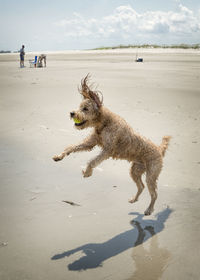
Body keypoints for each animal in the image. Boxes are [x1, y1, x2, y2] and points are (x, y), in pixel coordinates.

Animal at [52, 74, 170, 214]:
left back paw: (149, 209)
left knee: (154, 193)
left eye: (85, 109)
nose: (72, 113)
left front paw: (87, 172)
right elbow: (72, 147)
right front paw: (59, 156)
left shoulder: (107, 150)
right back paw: (133, 199)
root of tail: (159, 149)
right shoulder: (90, 142)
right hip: (135, 170)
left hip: (151, 174)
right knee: (141, 186)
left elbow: (92, 161)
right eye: (79, 107)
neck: (103, 123)